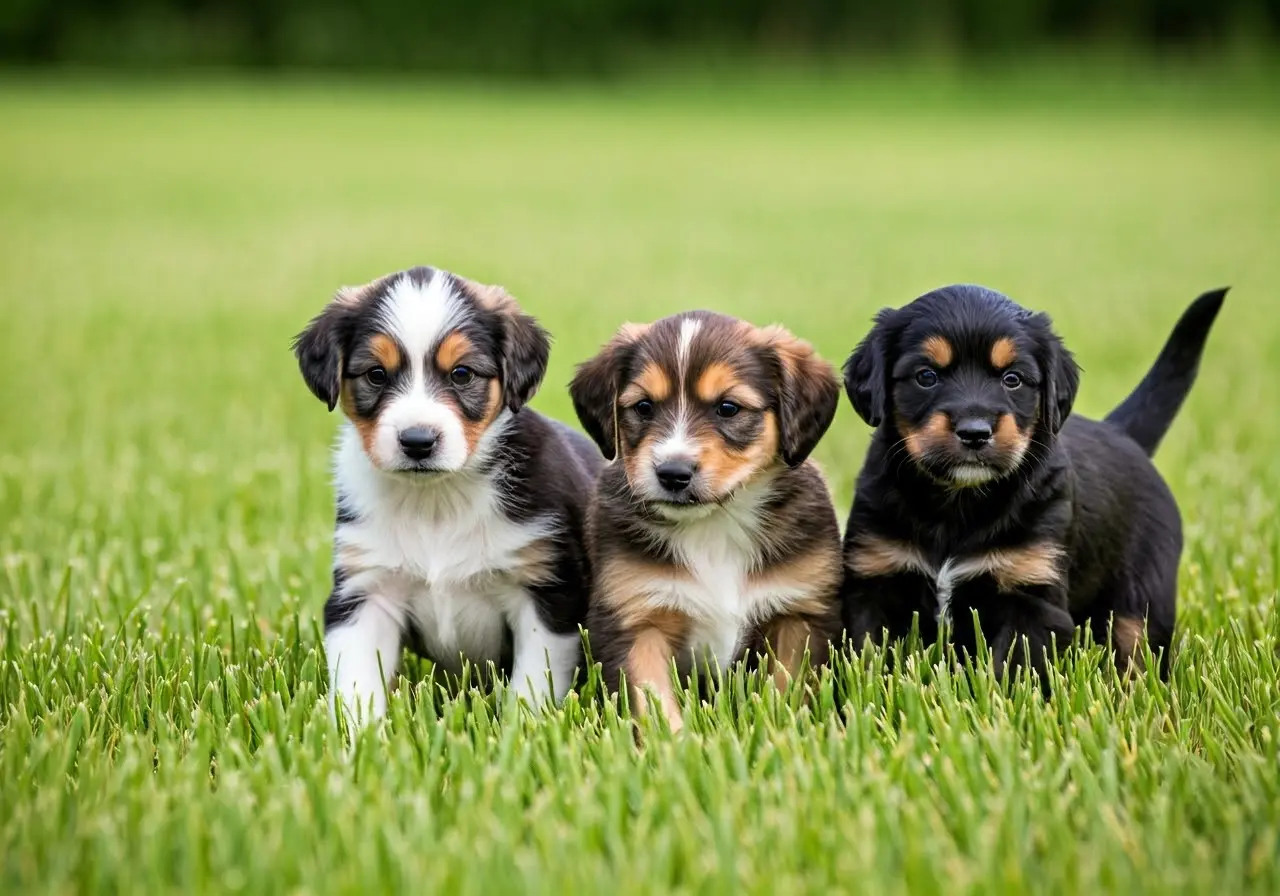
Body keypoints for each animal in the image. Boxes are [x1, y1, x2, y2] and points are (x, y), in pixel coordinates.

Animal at [294, 266, 604, 721]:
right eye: (376, 374)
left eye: (462, 374)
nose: (418, 441)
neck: (436, 501)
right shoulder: (365, 592)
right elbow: (356, 687)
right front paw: (357, 735)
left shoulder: (547, 595)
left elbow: (531, 687)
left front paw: (520, 727)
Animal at [570, 311, 839, 732]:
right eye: (643, 407)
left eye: (728, 408)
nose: (672, 473)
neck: (715, 526)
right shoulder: (635, 618)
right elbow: (653, 704)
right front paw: (671, 746)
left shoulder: (799, 614)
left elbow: (788, 691)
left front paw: (783, 733)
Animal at [834, 285, 1223, 680]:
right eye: (926, 376)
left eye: (1013, 379)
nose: (975, 432)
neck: (958, 502)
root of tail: (1121, 433)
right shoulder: (873, 579)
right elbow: (866, 657)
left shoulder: (1031, 592)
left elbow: (1011, 670)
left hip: (1143, 597)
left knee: (1136, 650)